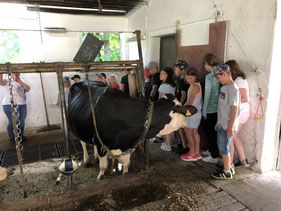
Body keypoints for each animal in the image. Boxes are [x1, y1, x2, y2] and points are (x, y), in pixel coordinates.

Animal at [67, 80, 197, 181]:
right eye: (181, 110)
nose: (186, 122)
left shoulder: (128, 145)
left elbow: (126, 165)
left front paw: (123, 174)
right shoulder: (101, 144)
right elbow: (103, 166)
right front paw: (100, 176)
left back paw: (94, 156)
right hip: (77, 127)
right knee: (83, 143)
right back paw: (87, 161)